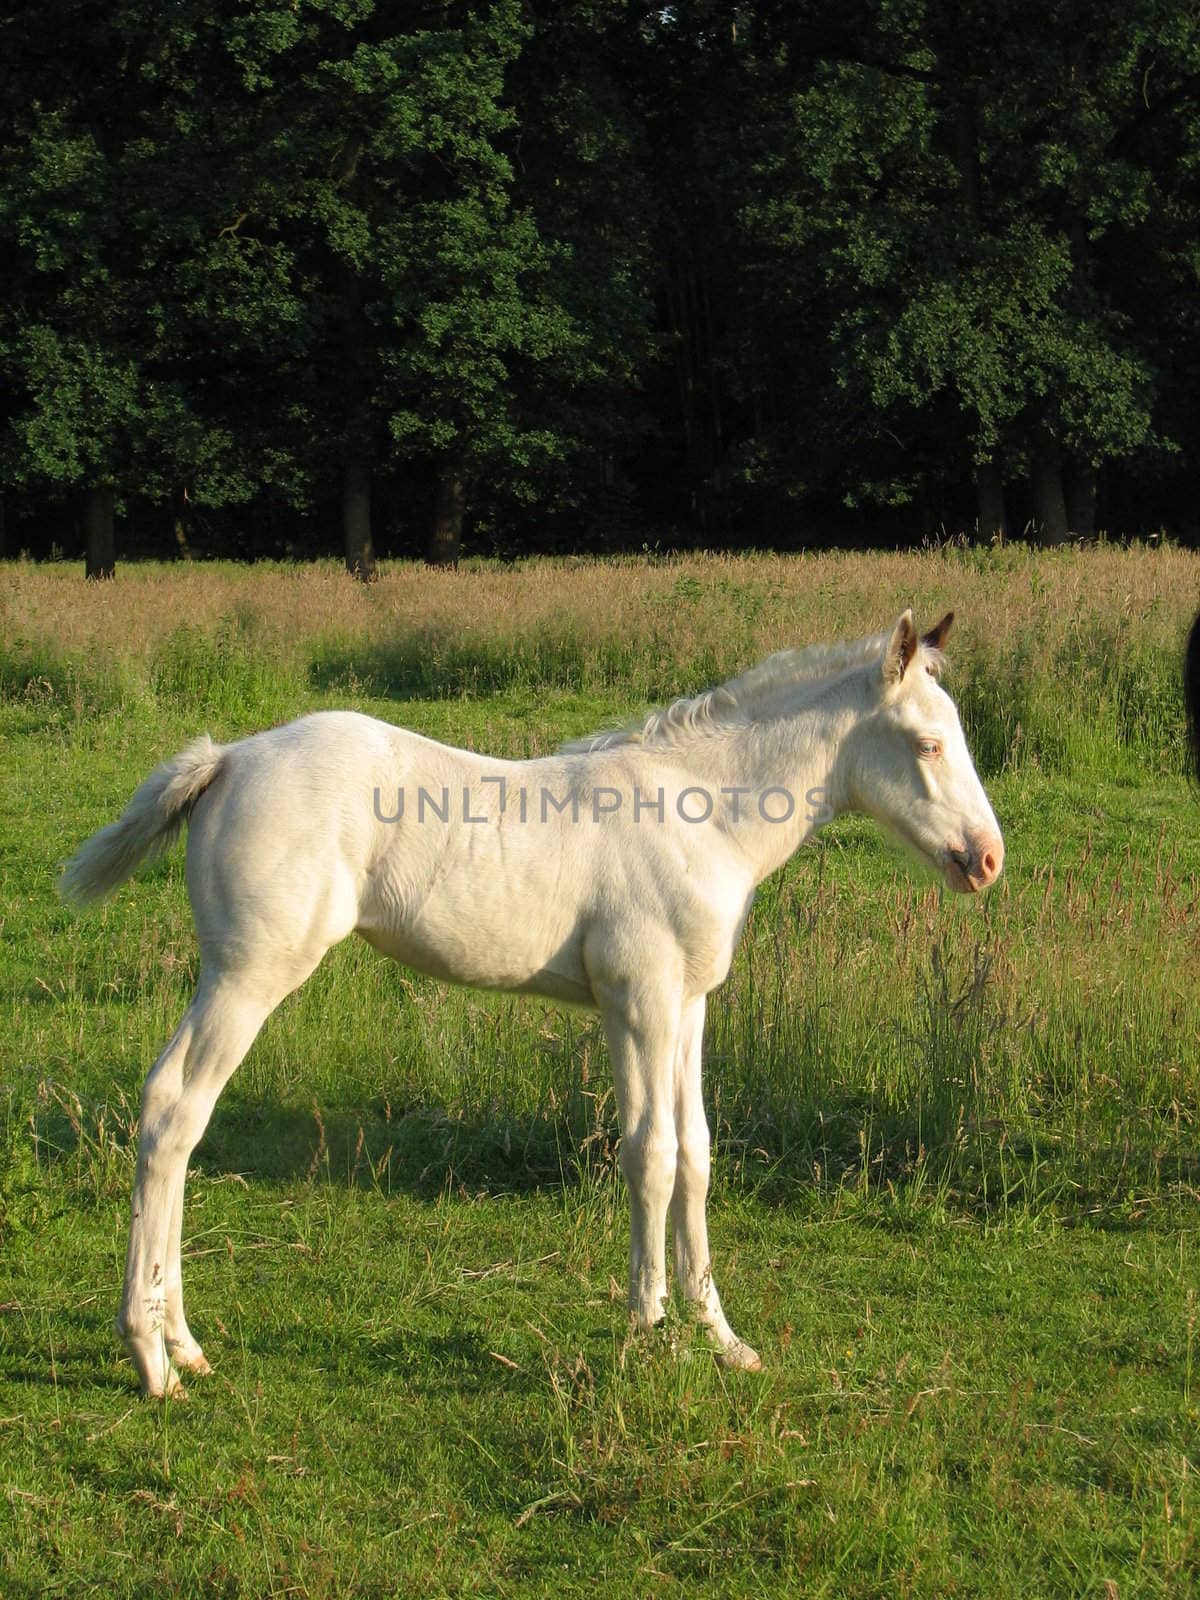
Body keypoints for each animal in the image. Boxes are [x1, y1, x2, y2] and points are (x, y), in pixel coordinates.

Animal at [63, 604, 1004, 1395]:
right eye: (926, 744)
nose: (987, 858)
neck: (701, 817)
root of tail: (226, 760)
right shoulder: (638, 1001)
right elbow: (650, 1154)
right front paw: (646, 1328)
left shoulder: (688, 1005)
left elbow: (697, 1153)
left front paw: (722, 1337)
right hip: (249, 972)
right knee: (173, 1109)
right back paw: (153, 1360)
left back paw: (184, 1344)